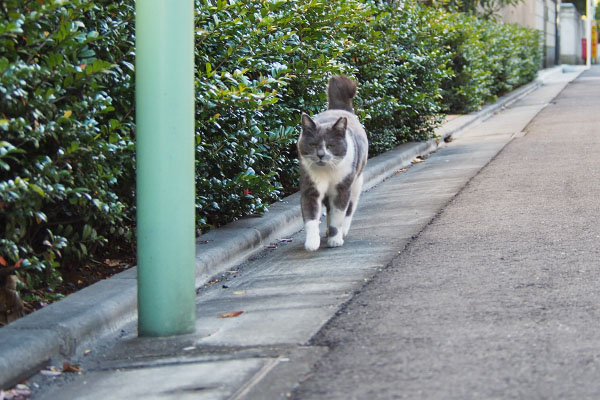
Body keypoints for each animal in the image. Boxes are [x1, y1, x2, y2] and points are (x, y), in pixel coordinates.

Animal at [298, 74, 368, 250]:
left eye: (330, 145)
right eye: (313, 145)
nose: (321, 155)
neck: (327, 172)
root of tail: (339, 109)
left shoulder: (342, 189)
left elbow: (338, 215)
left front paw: (335, 239)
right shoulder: (310, 188)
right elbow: (311, 218)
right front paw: (311, 242)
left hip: (356, 183)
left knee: (349, 209)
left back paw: (341, 232)